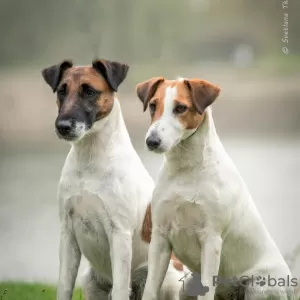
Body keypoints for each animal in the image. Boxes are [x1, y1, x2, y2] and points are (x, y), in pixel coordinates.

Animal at [41, 61, 186, 300]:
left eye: (90, 91)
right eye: (62, 91)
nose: (62, 126)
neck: (90, 160)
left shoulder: (119, 233)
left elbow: (119, 287)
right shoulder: (67, 234)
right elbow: (63, 287)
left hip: (168, 279)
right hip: (91, 281)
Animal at [137, 76, 294, 298]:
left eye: (180, 108)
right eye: (152, 105)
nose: (152, 141)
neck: (185, 170)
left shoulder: (211, 240)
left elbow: (206, 291)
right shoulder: (159, 237)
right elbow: (150, 290)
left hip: (260, 286)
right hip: (187, 286)